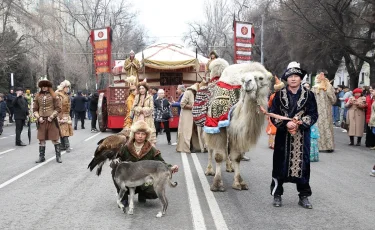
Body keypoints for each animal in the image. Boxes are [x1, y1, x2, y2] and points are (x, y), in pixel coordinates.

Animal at [204, 62, 272, 191]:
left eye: (261, 78)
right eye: (243, 79)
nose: (247, 82)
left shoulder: (237, 132)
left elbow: (237, 157)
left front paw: (239, 182)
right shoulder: (217, 127)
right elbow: (218, 155)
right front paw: (217, 184)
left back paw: (229, 167)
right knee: (210, 148)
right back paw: (209, 170)